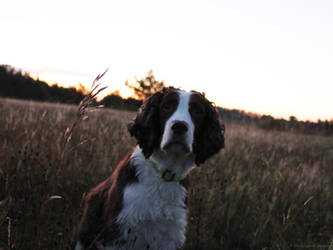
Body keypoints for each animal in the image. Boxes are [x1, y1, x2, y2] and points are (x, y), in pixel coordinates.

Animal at [75, 87, 224, 249]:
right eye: (167, 107)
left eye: (197, 111)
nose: (179, 127)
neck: (164, 174)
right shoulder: (116, 230)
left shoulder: (170, 234)